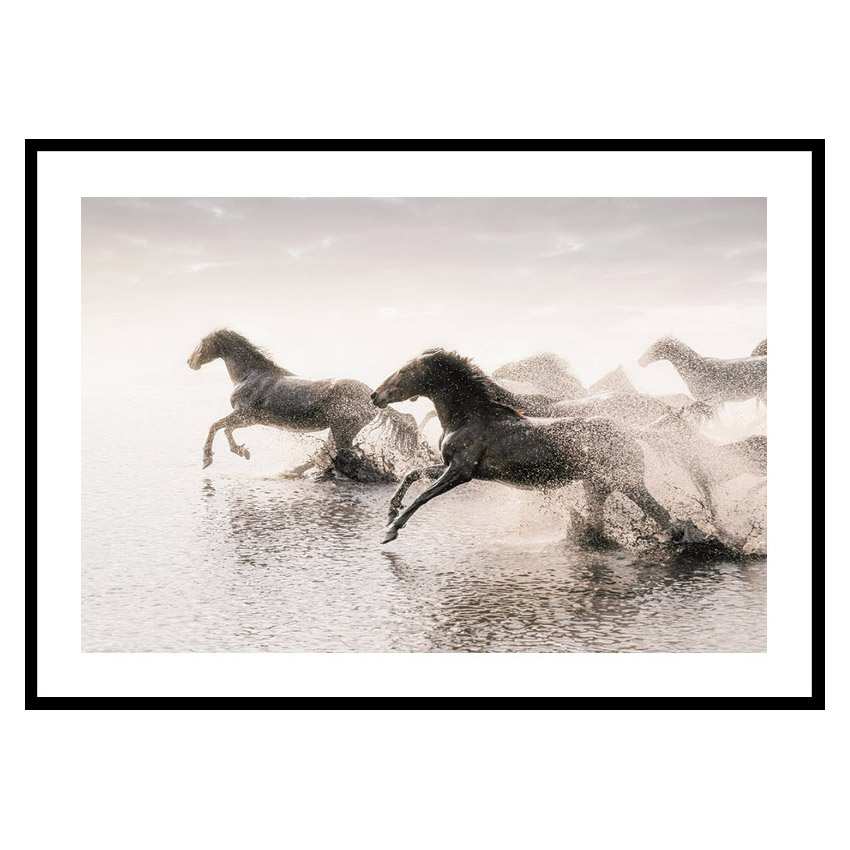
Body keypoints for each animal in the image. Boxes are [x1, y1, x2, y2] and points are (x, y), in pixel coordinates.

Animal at [187, 329, 419, 477]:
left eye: (202, 343)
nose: (190, 362)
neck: (250, 375)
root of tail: (372, 397)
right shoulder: (249, 419)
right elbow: (226, 429)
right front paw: (242, 451)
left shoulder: (245, 415)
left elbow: (216, 426)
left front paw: (207, 459)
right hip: (339, 429)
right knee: (328, 451)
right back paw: (293, 471)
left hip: (343, 429)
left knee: (338, 453)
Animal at [371, 348, 705, 546]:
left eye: (404, 371)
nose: (375, 395)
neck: (468, 417)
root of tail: (631, 432)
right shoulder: (450, 467)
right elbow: (412, 474)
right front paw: (390, 512)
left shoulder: (460, 472)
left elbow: (423, 496)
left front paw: (392, 530)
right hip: (597, 486)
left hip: (629, 483)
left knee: (667, 517)